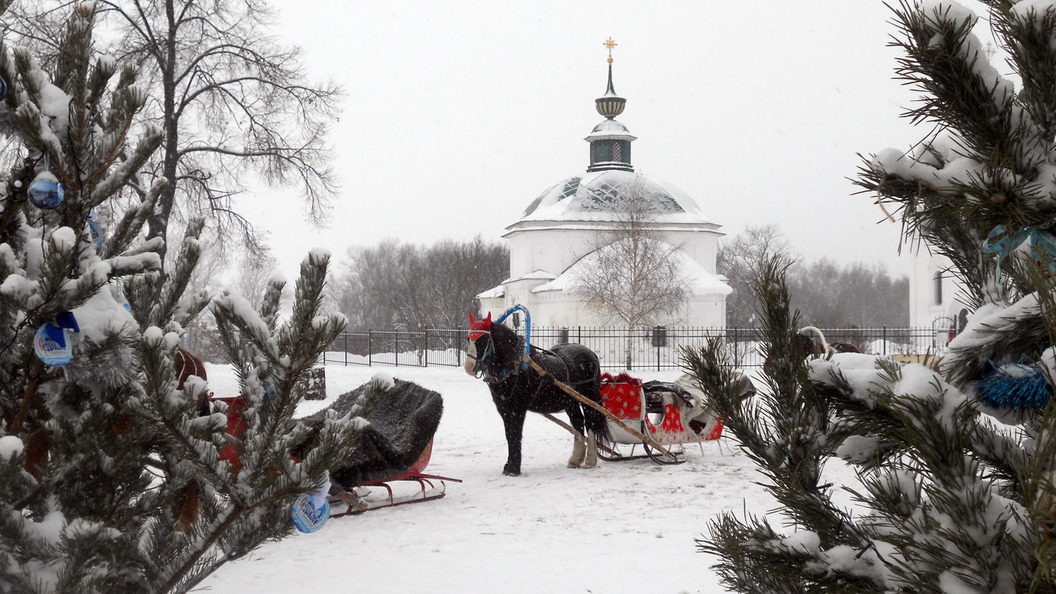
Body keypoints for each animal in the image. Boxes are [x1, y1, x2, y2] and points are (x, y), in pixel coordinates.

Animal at [464, 312, 608, 473]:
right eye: (468, 339)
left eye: (483, 340)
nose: (468, 367)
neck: (515, 366)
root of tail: (591, 354)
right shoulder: (504, 409)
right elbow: (509, 435)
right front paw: (509, 466)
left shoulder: (518, 408)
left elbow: (515, 434)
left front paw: (514, 468)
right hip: (570, 402)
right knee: (578, 421)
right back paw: (575, 459)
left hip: (590, 397)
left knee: (591, 421)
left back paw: (590, 459)